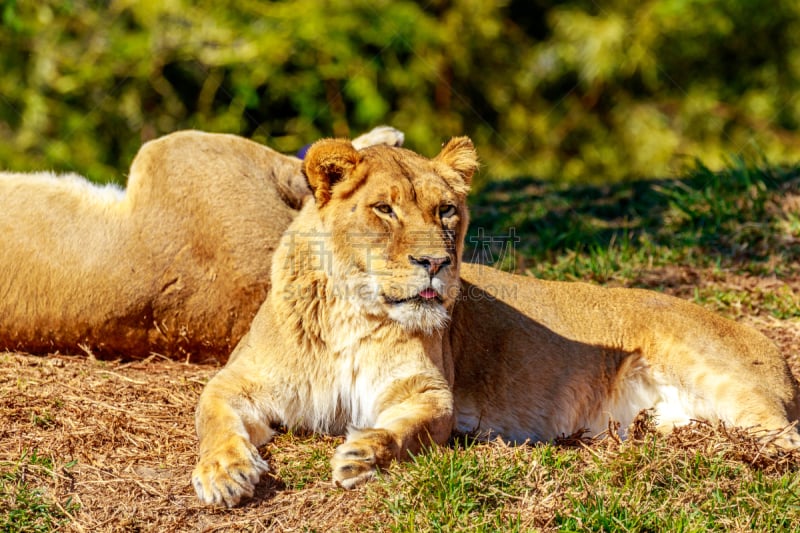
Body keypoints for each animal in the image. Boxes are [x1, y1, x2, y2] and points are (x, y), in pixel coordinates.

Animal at [191, 136, 796, 502]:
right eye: (384, 209)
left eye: (446, 211)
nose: (435, 262)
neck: (351, 312)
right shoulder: (238, 381)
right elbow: (214, 418)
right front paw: (223, 474)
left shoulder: (427, 394)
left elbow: (402, 431)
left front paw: (362, 455)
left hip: (720, 374)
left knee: (784, 435)